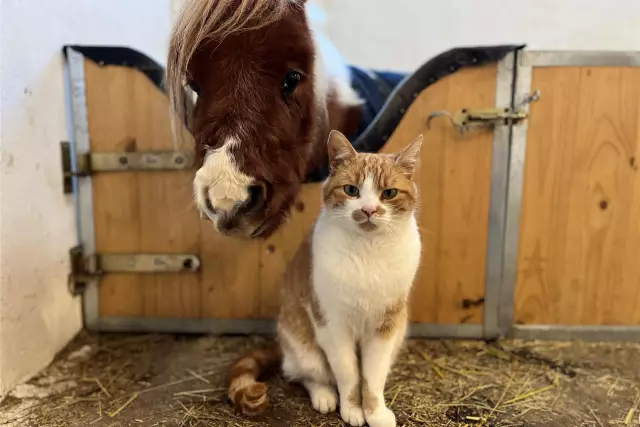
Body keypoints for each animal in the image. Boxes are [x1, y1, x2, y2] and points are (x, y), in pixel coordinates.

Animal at [228, 130, 422, 427]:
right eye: (352, 190)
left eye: (389, 193)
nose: (369, 210)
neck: (369, 252)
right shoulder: (333, 324)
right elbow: (349, 374)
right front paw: (352, 409)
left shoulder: (386, 327)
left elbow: (372, 376)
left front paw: (375, 413)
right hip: (305, 347)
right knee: (307, 375)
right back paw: (324, 396)